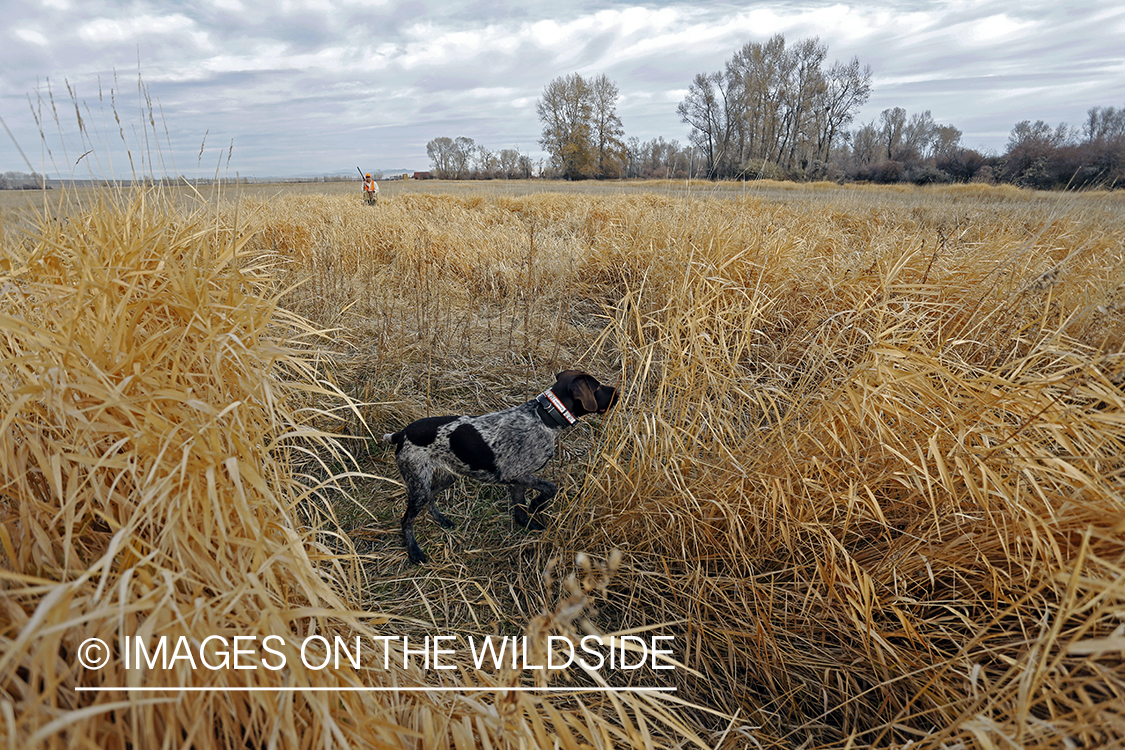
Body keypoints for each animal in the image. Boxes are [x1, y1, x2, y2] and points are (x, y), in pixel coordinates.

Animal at [384, 368, 616, 562]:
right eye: (597, 387)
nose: (618, 390)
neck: (544, 417)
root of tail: (401, 433)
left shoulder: (518, 479)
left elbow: (520, 510)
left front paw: (530, 524)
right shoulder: (515, 474)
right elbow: (551, 488)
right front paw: (537, 505)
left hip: (447, 475)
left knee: (432, 495)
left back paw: (440, 519)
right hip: (418, 483)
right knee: (406, 520)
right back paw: (414, 550)